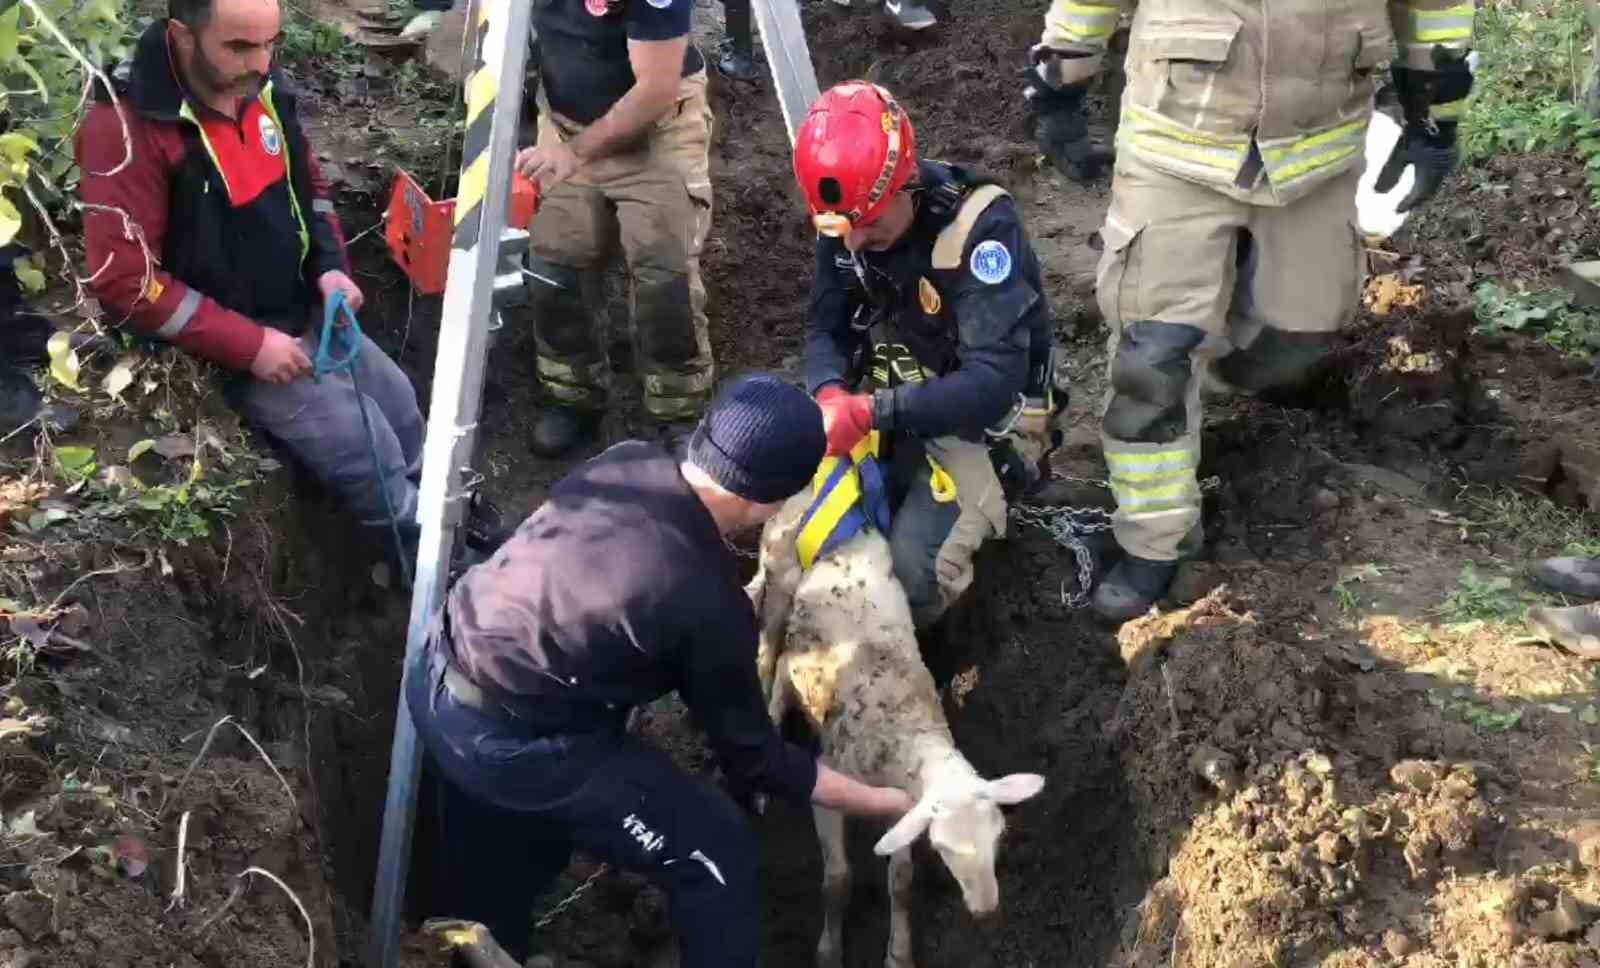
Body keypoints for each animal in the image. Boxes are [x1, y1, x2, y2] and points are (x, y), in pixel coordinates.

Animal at [745, 489, 1043, 966]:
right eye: (942, 848)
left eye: (999, 835)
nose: (985, 911)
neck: (906, 727)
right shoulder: (827, 790)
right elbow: (838, 879)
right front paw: (829, 950)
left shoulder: (901, 807)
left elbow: (901, 884)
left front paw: (898, 953)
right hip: (778, 581)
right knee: (767, 657)